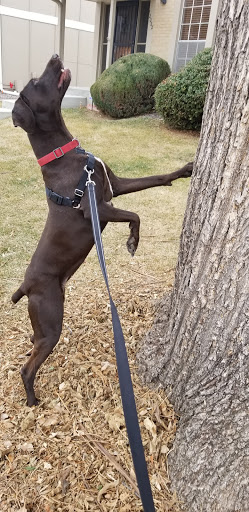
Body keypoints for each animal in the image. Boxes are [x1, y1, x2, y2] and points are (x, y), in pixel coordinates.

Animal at [11, 55, 193, 408]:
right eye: (36, 82)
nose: (55, 56)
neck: (66, 155)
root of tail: (26, 285)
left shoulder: (115, 186)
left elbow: (155, 180)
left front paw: (185, 170)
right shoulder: (96, 208)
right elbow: (135, 214)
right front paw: (133, 242)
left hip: (42, 323)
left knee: (32, 344)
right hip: (51, 321)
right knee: (28, 367)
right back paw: (32, 400)